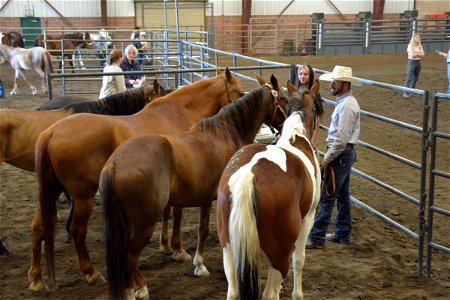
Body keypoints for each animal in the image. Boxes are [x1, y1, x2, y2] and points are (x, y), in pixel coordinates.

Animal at [29, 67, 244, 290]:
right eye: (238, 91)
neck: (177, 112)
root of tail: (51, 132)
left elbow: (167, 212)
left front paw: (166, 246)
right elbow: (177, 214)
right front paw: (178, 249)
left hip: (52, 191)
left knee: (38, 227)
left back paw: (36, 278)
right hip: (82, 196)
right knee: (77, 230)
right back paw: (91, 272)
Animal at [97, 74, 288, 298]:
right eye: (283, 98)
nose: (283, 127)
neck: (225, 135)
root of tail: (115, 162)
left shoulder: (205, 199)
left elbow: (201, 230)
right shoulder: (213, 200)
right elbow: (204, 230)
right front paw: (200, 265)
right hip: (145, 223)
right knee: (129, 256)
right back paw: (139, 289)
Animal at [215, 79, 324, 300]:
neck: (295, 136)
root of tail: (248, 176)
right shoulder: (308, 218)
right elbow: (299, 260)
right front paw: (297, 294)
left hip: (228, 247)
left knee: (233, 291)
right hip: (279, 254)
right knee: (270, 293)